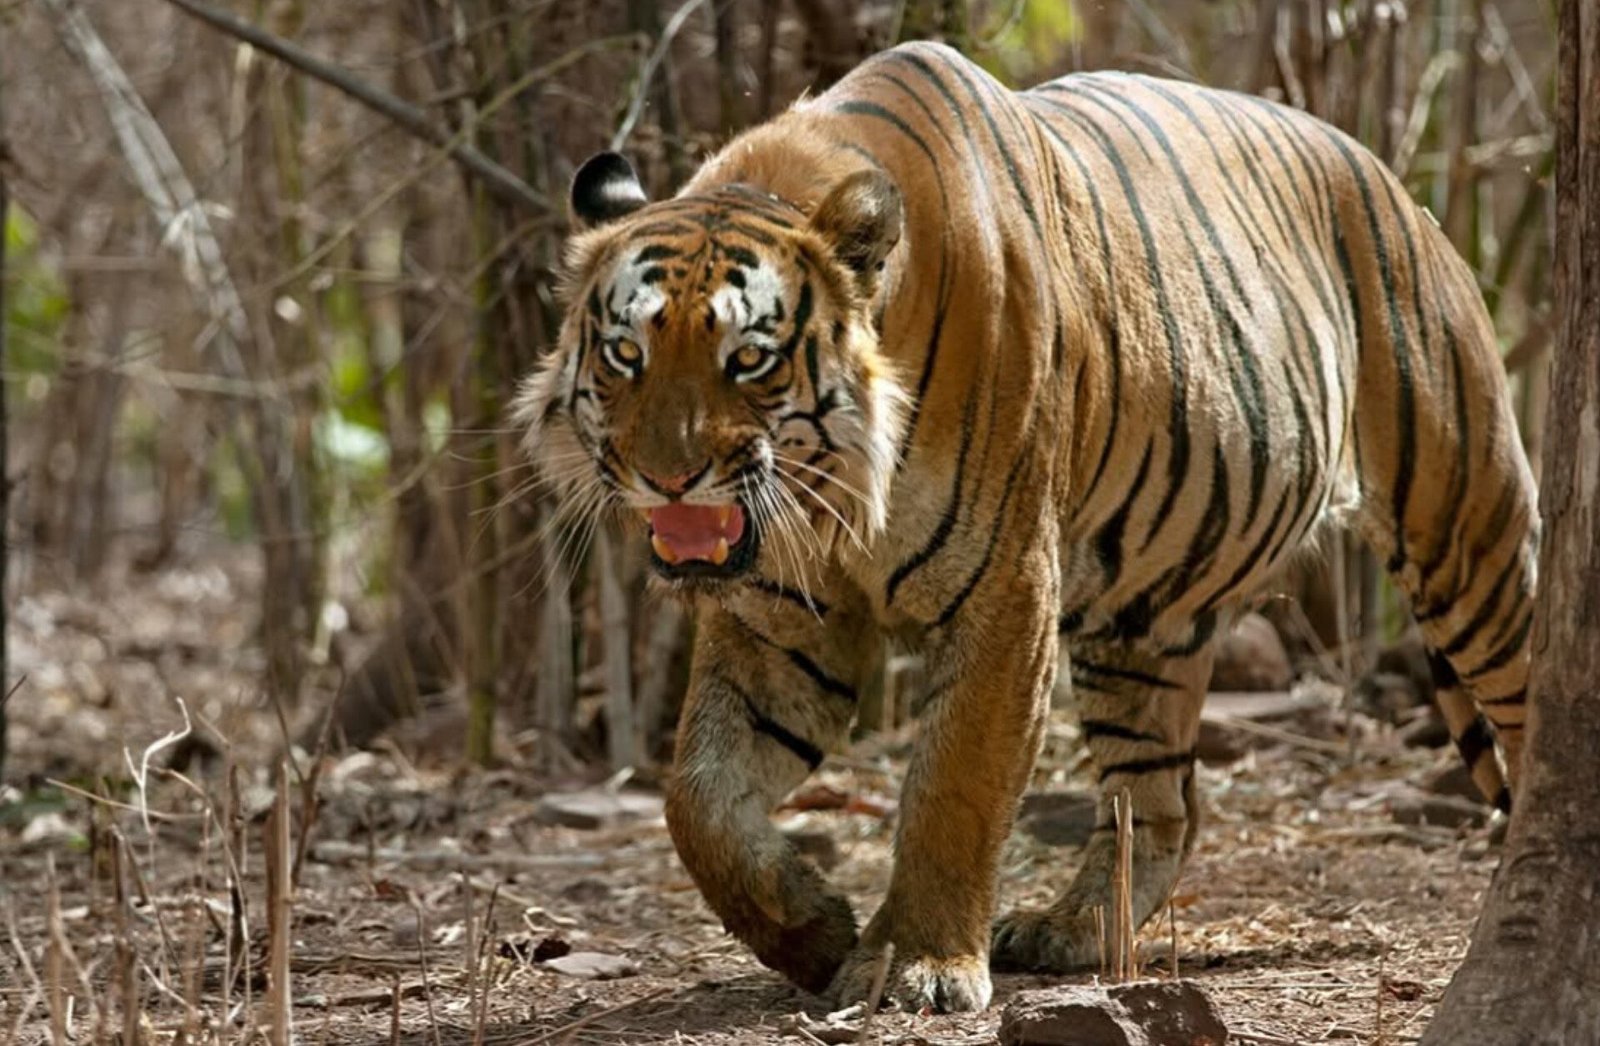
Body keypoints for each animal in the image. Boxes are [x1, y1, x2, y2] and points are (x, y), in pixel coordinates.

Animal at [512, 41, 1539, 1013]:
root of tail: (1389, 176)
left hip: (1469, 528)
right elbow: (699, 803)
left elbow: (953, 789)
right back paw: (1071, 930)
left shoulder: (1004, 589)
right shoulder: (779, 622)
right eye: (626, 353)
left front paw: (918, 966)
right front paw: (814, 931)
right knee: (1164, 801)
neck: (834, 496)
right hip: (1142, 623)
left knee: (1526, 699)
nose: (666, 477)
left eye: (749, 359)